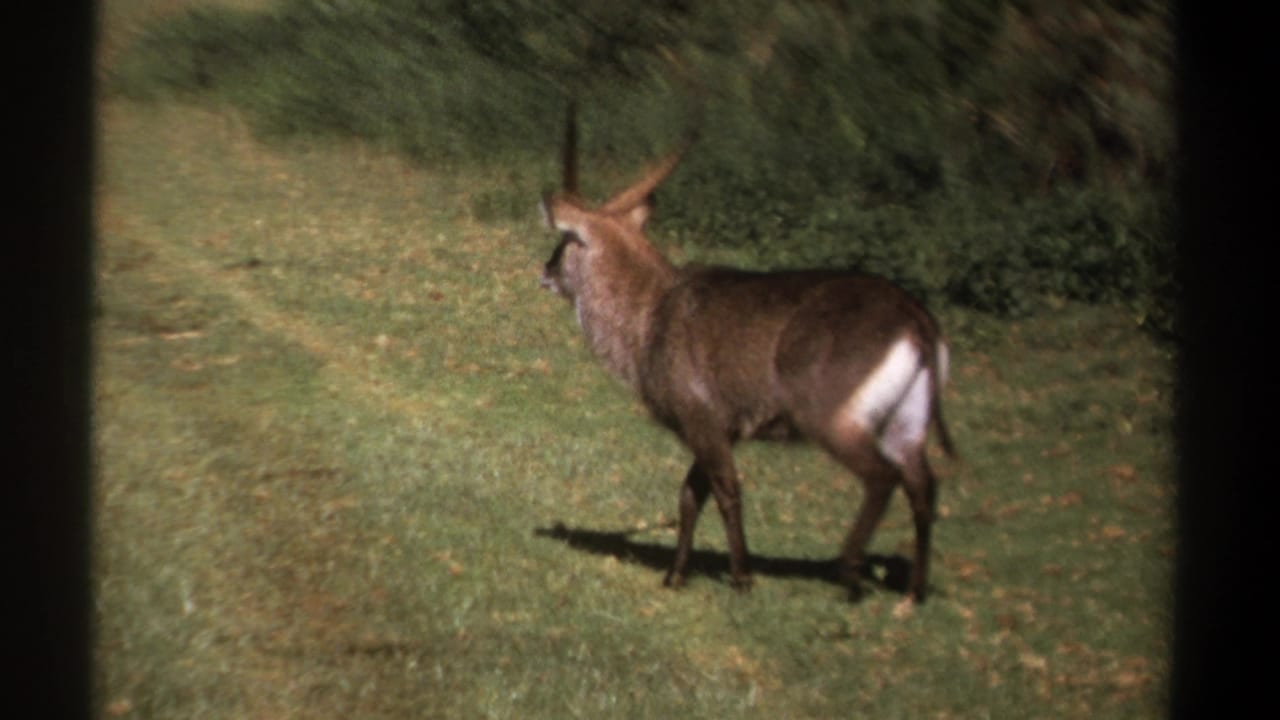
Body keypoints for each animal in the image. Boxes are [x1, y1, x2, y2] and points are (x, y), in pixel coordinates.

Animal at [538, 104, 955, 602]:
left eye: (564, 242)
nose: (544, 271)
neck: (651, 311)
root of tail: (915, 316)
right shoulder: (722, 428)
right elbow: (689, 495)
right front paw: (676, 576)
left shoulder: (701, 420)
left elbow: (725, 490)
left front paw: (742, 577)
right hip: (905, 423)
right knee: (923, 485)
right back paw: (913, 595)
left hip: (833, 420)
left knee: (882, 478)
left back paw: (850, 577)